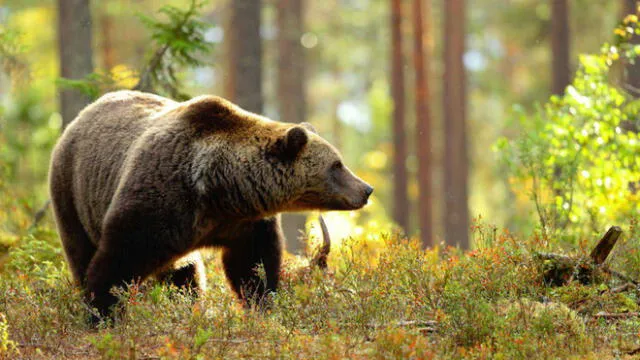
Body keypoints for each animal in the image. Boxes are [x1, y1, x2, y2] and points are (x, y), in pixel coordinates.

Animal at [50, 89, 372, 318]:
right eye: (336, 165)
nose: (366, 189)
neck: (220, 190)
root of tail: (80, 116)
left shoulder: (244, 223)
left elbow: (251, 266)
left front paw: (263, 304)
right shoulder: (159, 200)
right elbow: (119, 258)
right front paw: (102, 312)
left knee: (184, 274)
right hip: (73, 193)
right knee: (80, 250)